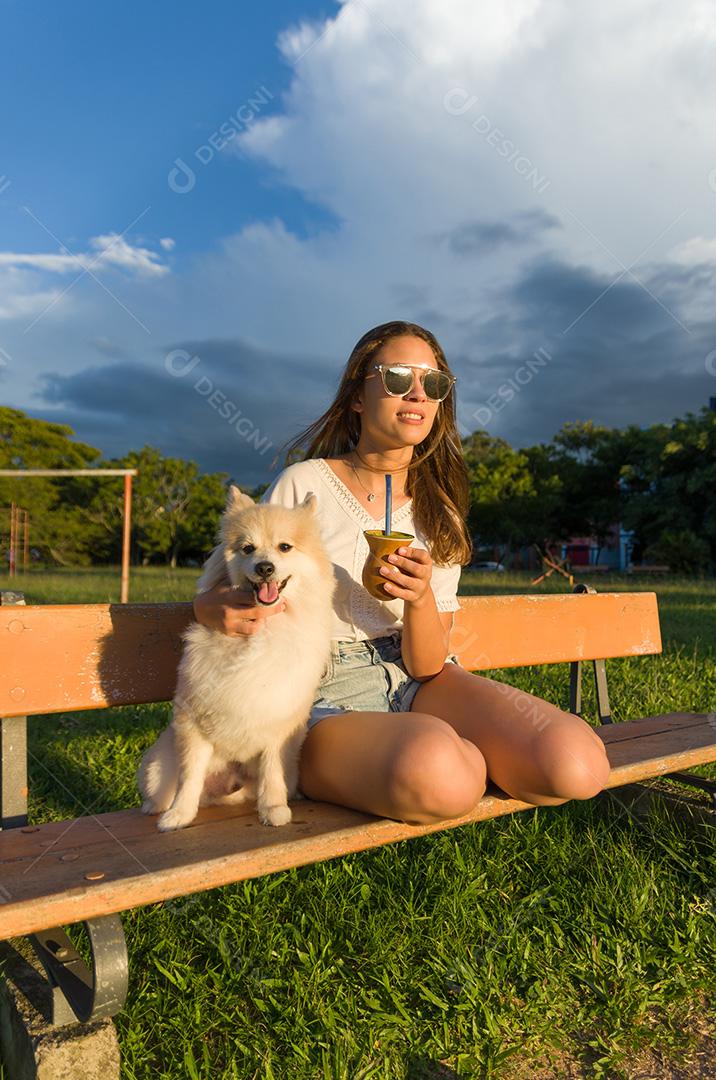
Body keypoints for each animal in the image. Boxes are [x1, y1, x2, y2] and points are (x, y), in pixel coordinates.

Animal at [138, 486, 336, 829]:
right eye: (247, 549)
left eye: (284, 547)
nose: (264, 567)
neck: (261, 629)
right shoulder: (193, 723)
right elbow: (189, 776)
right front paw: (179, 815)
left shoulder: (279, 724)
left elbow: (272, 772)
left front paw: (273, 809)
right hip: (157, 764)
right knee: (167, 786)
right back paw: (157, 807)